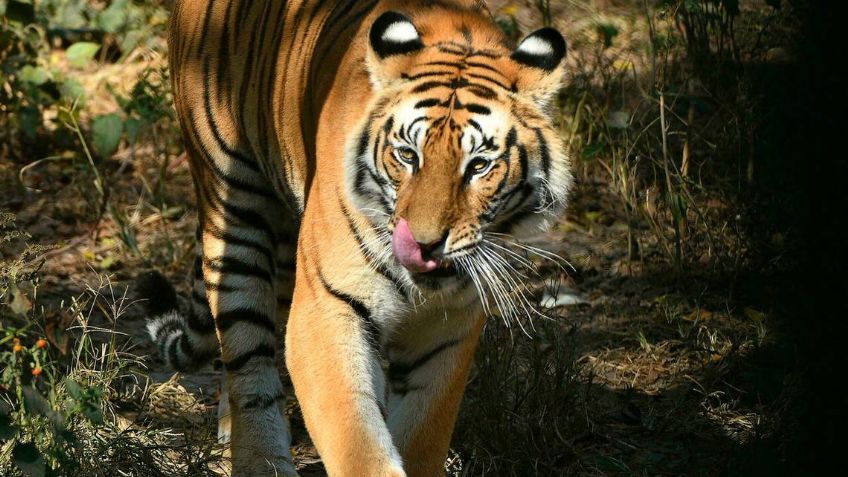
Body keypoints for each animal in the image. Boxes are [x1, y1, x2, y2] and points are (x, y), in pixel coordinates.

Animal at [141, 0, 571, 475]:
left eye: (478, 165)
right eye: (407, 155)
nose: (424, 246)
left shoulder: (449, 328)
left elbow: (421, 435)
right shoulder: (326, 311)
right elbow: (358, 444)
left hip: (286, 254)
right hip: (232, 200)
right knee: (247, 357)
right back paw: (258, 457)